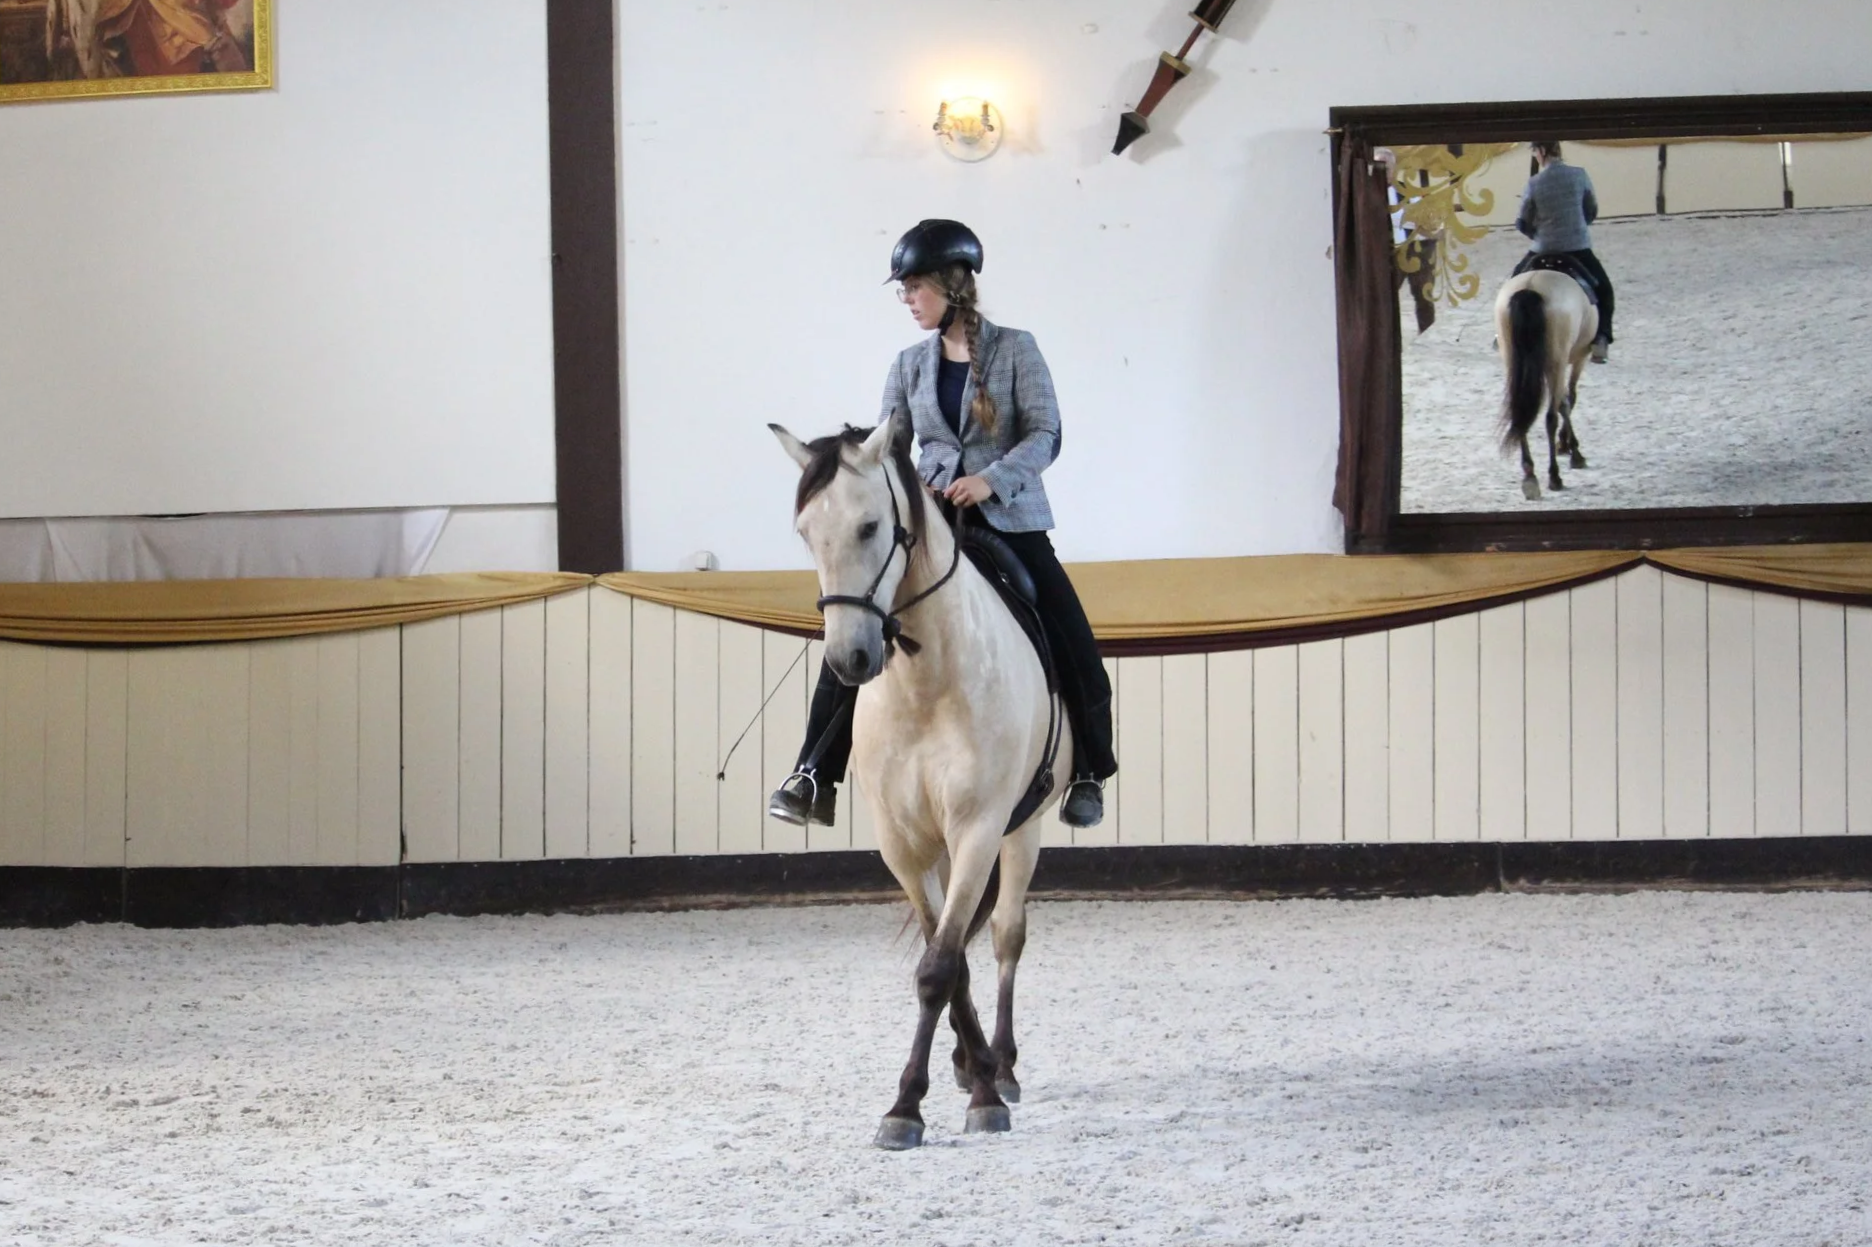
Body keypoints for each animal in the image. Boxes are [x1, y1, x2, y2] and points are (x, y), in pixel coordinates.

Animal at [770, 413, 1070, 1151]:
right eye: (807, 533)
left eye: (870, 526)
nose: (850, 659)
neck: (926, 684)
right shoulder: (904, 846)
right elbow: (946, 959)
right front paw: (945, 1082)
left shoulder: (979, 829)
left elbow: (942, 964)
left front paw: (943, 1100)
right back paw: (975, 1059)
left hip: (1023, 829)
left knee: (1006, 935)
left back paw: (1004, 1064)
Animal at [1494, 267, 1599, 499]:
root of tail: (1529, 288)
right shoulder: (1578, 358)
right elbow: (1568, 401)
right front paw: (1572, 449)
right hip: (1557, 363)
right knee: (1551, 416)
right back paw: (1554, 476)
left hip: (1514, 362)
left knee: (1520, 413)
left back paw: (1530, 476)